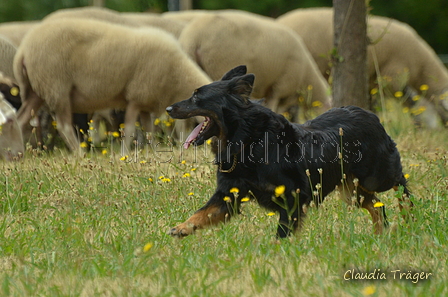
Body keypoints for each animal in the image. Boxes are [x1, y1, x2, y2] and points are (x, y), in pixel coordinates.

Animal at [13, 18, 210, 151]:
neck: (176, 75)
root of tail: (23, 50)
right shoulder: (136, 96)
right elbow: (129, 128)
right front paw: (124, 153)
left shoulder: (145, 101)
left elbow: (149, 130)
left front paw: (153, 151)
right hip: (56, 87)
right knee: (63, 126)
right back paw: (79, 153)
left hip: (37, 90)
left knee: (20, 119)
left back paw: (18, 153)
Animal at [166, 66, 412, 237]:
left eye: (196, 97)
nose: (168, 108)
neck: (248, 140)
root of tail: (370, 115)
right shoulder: (229, 195)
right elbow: (202, 212)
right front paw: (182, 227)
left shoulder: (293, 197)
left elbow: (282, 234)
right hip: (351, 190)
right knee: (377, 207)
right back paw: (380, 236)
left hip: (375, 177)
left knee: (400, 183)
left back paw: (409, 212)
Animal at [276, 6, 448, 125]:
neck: (422, 66)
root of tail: (280, 21)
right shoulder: (392, 75)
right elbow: (410, 103)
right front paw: (418, 126)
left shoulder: (374, 80)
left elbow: (375, 104)